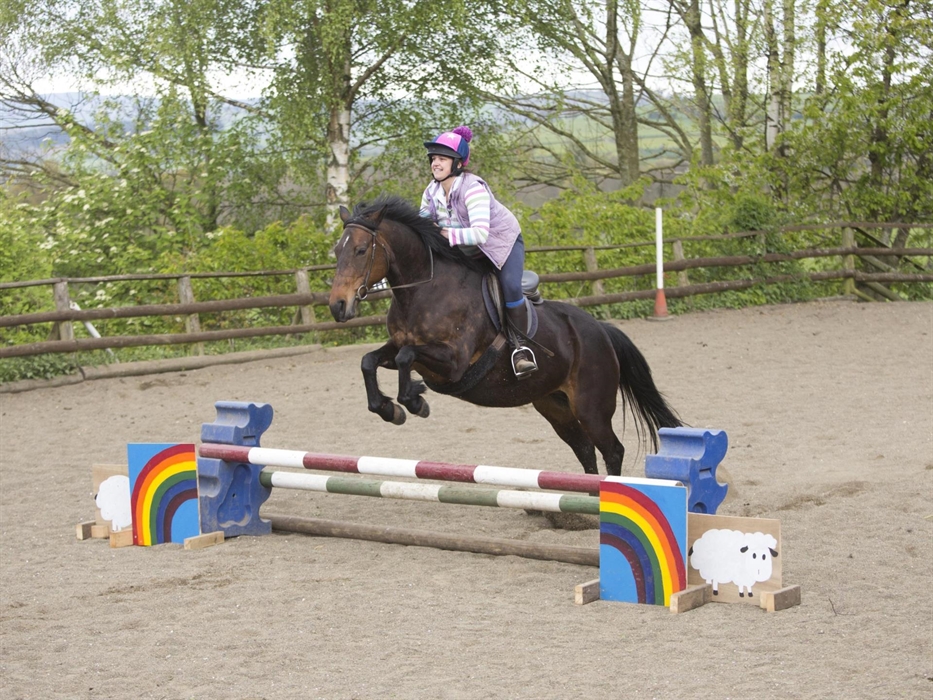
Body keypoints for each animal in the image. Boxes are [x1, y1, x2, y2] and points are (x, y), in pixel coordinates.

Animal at [327, 195, 682, 476]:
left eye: (361, 250)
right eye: (336, 251)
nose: (337, 306)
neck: (423, 289)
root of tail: (601, 330)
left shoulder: (453, 362)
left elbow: (406, 358)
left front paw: (414, 400)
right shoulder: (401, 346)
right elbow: (369, 360)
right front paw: (391, 408)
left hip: (591, 407)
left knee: (612, 450)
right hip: (554, 405)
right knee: (584, 449)